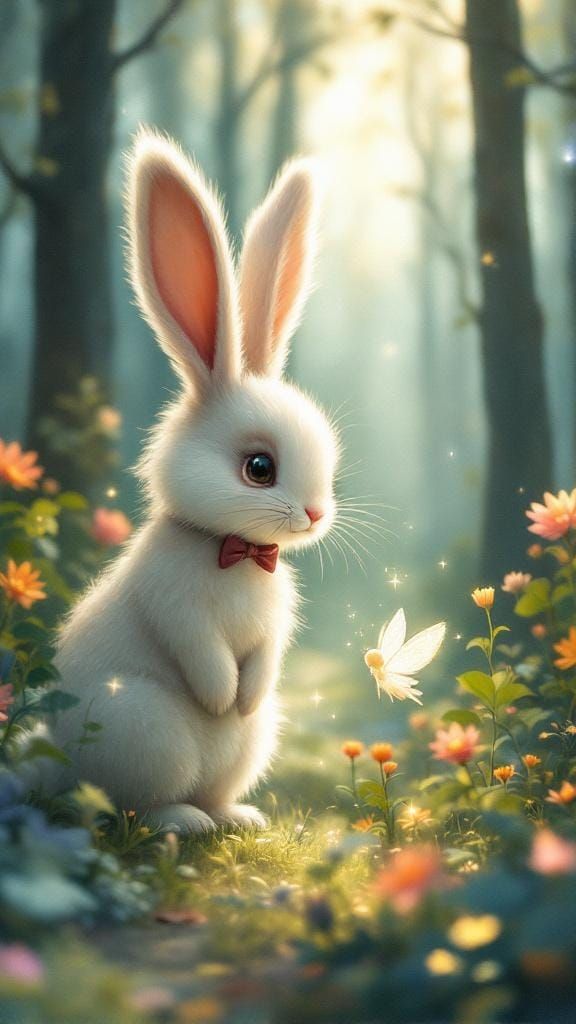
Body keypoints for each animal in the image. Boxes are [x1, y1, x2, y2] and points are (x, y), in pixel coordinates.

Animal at [47, 130, 340, 833]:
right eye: (259, 468)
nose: (316, 514)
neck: (230, 551)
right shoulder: (173, 604)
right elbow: (201, 651)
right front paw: (220, 694)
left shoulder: (275, 625)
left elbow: (266, 658)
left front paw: (243, 696)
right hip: (140, 725)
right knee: (126, 806)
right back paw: (182, 822)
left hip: (251, 743)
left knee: (212, 787)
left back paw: (238, 817)